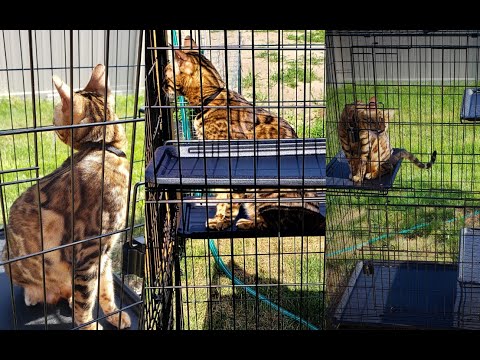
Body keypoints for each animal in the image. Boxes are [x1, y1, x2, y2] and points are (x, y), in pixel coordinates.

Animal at [0, 64, 130, 330]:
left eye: (54, 116)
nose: (51, 123)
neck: (105, 149)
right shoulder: (88, 256)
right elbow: (86, 304)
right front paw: (90, 326)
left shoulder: (103, 255)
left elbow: (105, 289)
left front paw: (114, 313)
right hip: (8, 257)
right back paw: (33, 294)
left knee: (75, 292)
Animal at [163, 36, 320, 232]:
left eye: (165, 73)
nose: (162, 86)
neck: (210, 98)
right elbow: (221, 198)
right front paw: (218, 219)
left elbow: (228, 200)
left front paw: (222, 221)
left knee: (276, 222)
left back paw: (248, 222)